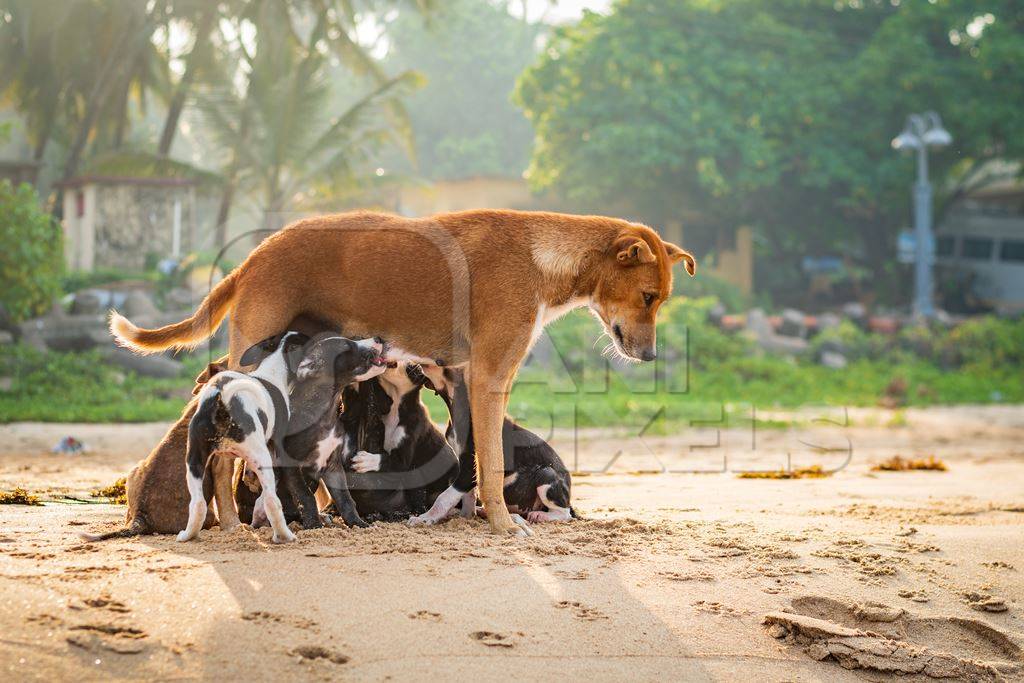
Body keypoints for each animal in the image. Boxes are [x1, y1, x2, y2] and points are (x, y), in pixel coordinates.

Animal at [178, 331, 309, 544]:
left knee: (197, 504)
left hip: (194, 460)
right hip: (260, 456)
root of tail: (222, 401)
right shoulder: (276, 449)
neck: (273, 368)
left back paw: (188, 535)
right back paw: (284, 536)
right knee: (271, 501)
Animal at [405, 366, 573, 528]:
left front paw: (425, 518)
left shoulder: (468, 470)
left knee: (565, 514)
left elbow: (444, 497)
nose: (410, 366)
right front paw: (466, 517)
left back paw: (541, 515)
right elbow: (468, 497)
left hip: (547, 475)